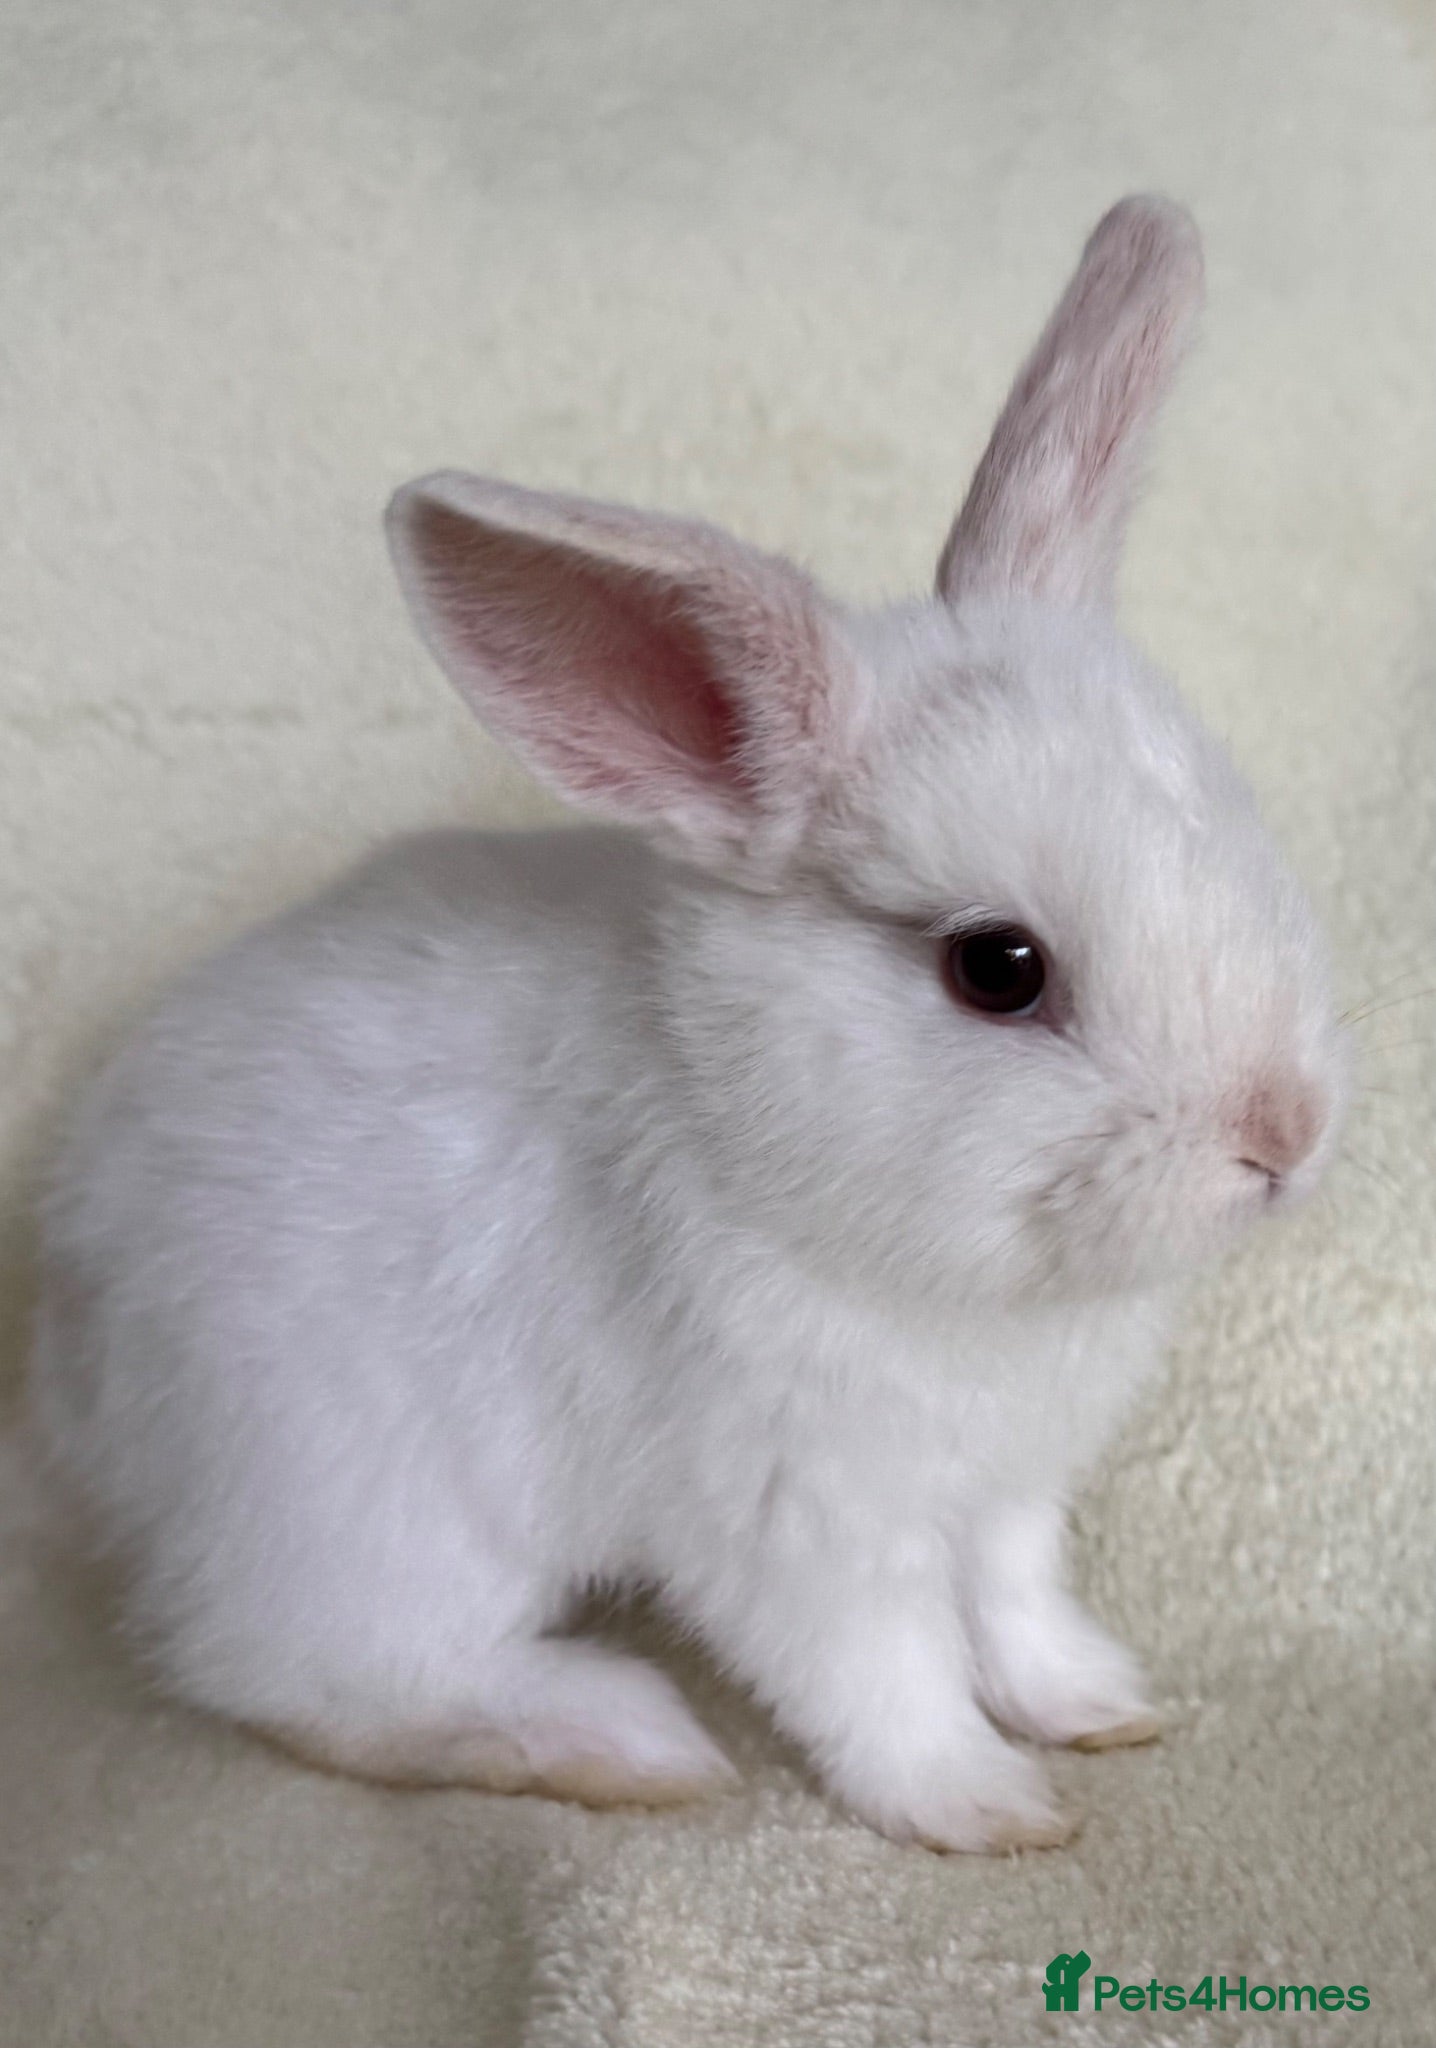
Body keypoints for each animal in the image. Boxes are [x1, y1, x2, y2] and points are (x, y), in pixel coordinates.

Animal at [30, 196, 1347, 1853]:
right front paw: (985, 1809)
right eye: (998, 968)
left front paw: (1100, 1709)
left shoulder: (1003, 1495)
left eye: (1237, 829)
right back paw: (614, 1740)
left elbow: (1016, 1607)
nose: (1283, 1133)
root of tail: (72, 1368)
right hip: (369, 1519)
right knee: (303, 1680)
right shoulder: (801, 1523)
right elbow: (884, 1675)